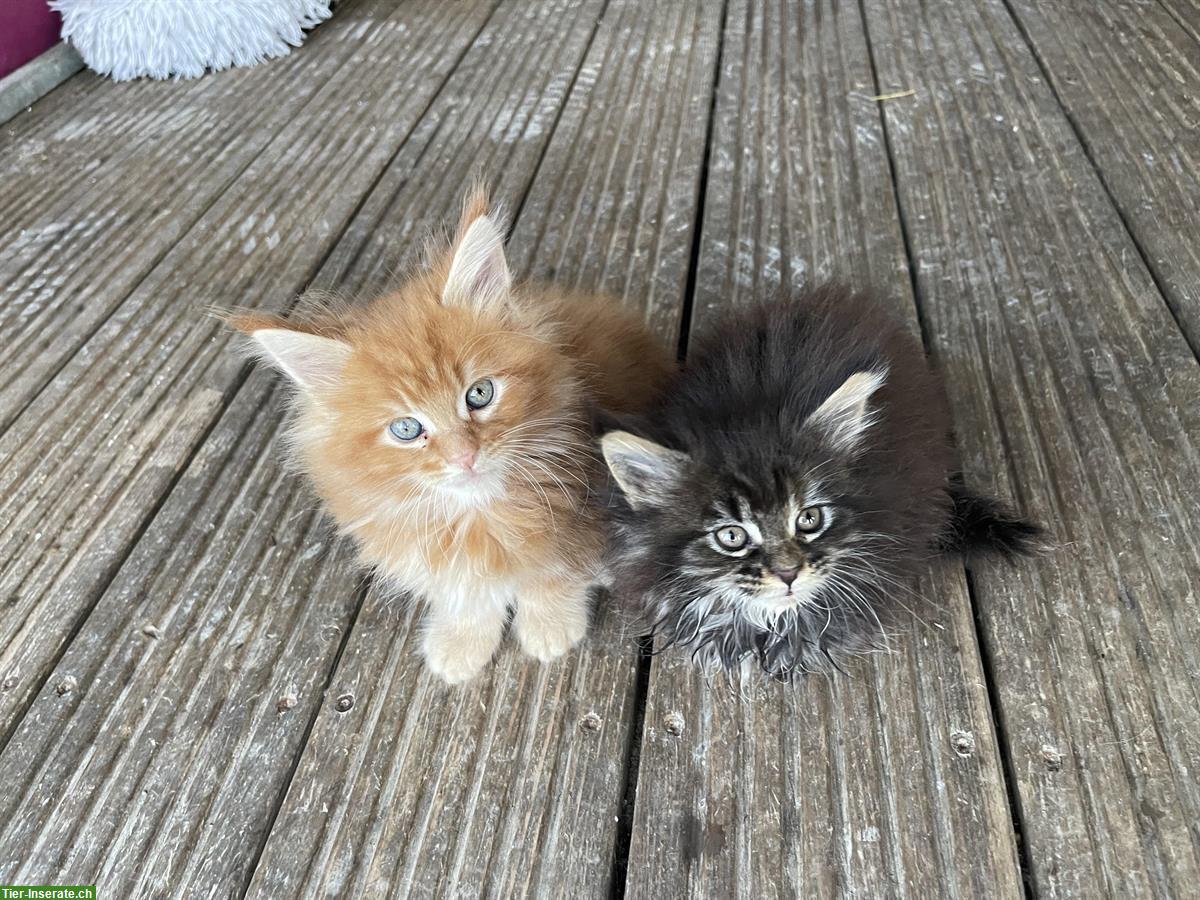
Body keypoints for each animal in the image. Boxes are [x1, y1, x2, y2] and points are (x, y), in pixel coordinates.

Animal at [231, 195, 676, 681]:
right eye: (406, 429)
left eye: (479, 394)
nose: (466, 456)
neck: (477, 517)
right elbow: (468, 596)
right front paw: (463, 641)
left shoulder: (579, 521)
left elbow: (550, 574)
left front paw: (550, 623)